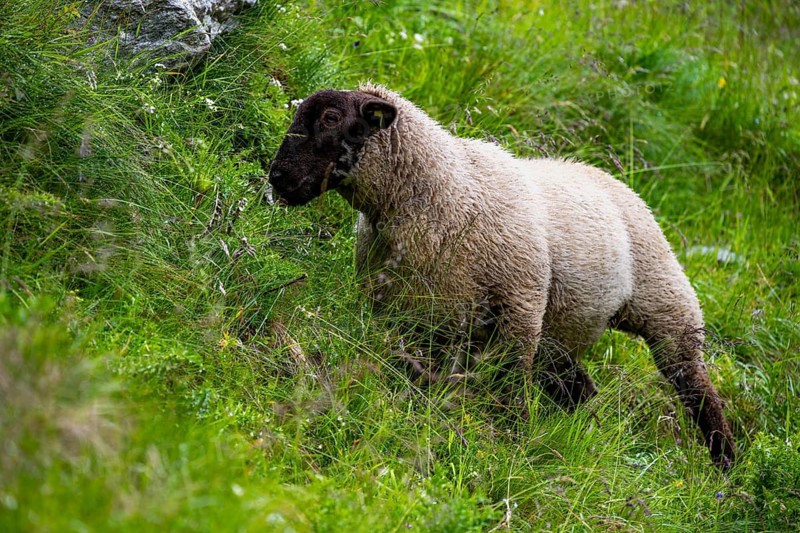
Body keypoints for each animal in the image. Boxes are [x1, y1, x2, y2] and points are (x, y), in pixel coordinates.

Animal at [268, 83, 736, 467]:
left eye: (331, 119)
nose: (278, 178)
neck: (444, 191)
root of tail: (611, 178)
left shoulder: (519, 305)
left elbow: (511, 382)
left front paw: (515, 437)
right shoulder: (406, 309)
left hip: (664, 303)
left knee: (695, 387)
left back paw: (726, 461)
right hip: (560, 328)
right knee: (579, 387)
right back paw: (582, 430)